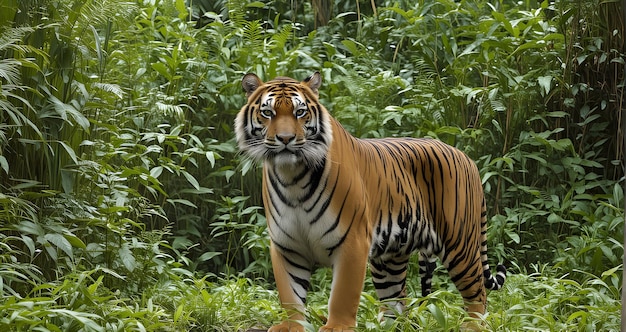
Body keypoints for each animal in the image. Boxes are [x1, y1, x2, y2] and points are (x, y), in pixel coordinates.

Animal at [232, 71, 504, 330]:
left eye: (300, 112)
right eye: (268, 113)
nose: (286, 139)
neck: (292, 177)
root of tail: (468, 158)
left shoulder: (352, 241)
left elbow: (343, 293)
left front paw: (337, 327)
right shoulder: (287, 246)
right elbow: (290, 295)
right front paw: (291, 326)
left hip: (460, 245)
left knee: (478, 293)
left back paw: (472, 326)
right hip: (390, 259)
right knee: (397, 302)